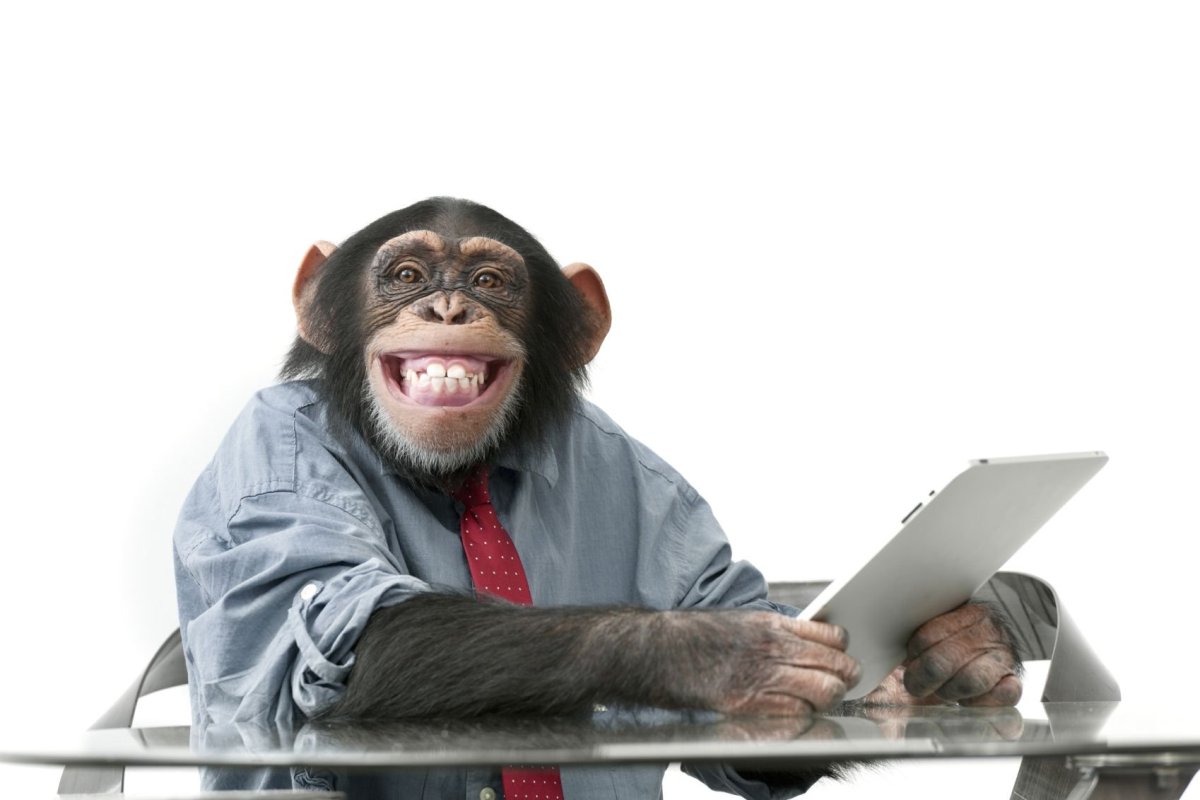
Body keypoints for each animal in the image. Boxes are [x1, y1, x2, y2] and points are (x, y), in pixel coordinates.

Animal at [173, 198, 1021, 798]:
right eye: (407, 276)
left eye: (489, 282)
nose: (448, 308)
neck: (460, 476)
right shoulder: (269, 463)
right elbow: (352, 632)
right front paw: (724, 651)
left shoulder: (645, 469)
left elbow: (719, 587)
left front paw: (956, 650)